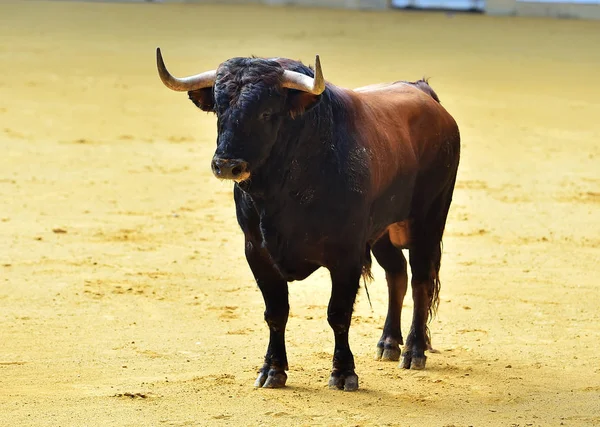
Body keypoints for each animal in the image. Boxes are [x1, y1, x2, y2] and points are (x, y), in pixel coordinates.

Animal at [155, 48, 460, 392]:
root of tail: (424, 94)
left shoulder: (346, 255)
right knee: (397, 273)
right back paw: (388, 343)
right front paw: (272, 370)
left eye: (267, 112)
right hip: (382, 231)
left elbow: (338, 313)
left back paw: (414, 350)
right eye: (220, 108)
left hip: (428, 219)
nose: (227, 165)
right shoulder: (257, 251)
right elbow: (276, 312)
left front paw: (344, 373)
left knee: (422, 280)